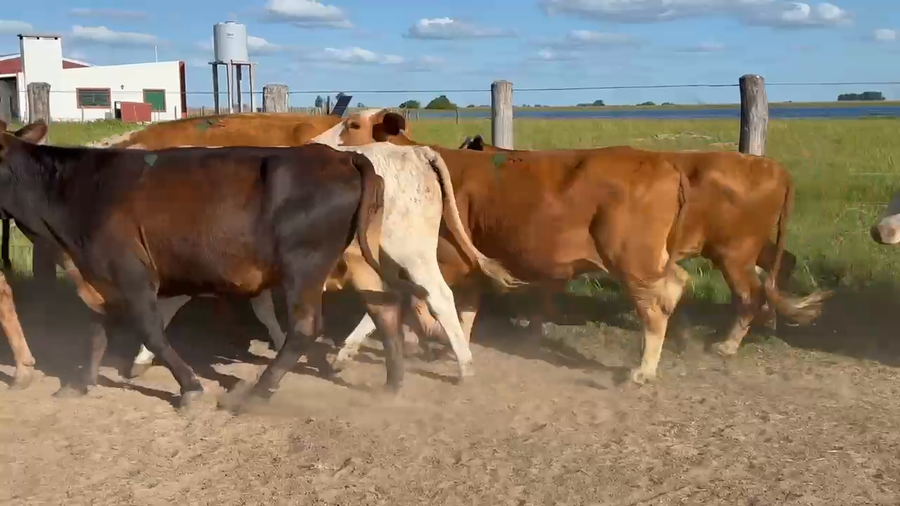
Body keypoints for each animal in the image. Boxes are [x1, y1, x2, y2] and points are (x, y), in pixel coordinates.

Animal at [0, 119, 420, 412]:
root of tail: (343, 156)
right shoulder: (96, 278)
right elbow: (95, 332)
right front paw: (80, 382)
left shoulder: (133, 277)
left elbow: (151, 332)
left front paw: (189, 387)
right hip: (357, 258)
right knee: (384, 308)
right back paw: (393, 384)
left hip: (305, 266)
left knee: (304, 329)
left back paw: (257, 393)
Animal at [456, 134, 825, 358]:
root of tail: (770, 165)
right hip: (751, 247)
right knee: (784, 266)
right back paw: (771, 323)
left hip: (734, 252)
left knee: (750, 293)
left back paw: (728, 343)